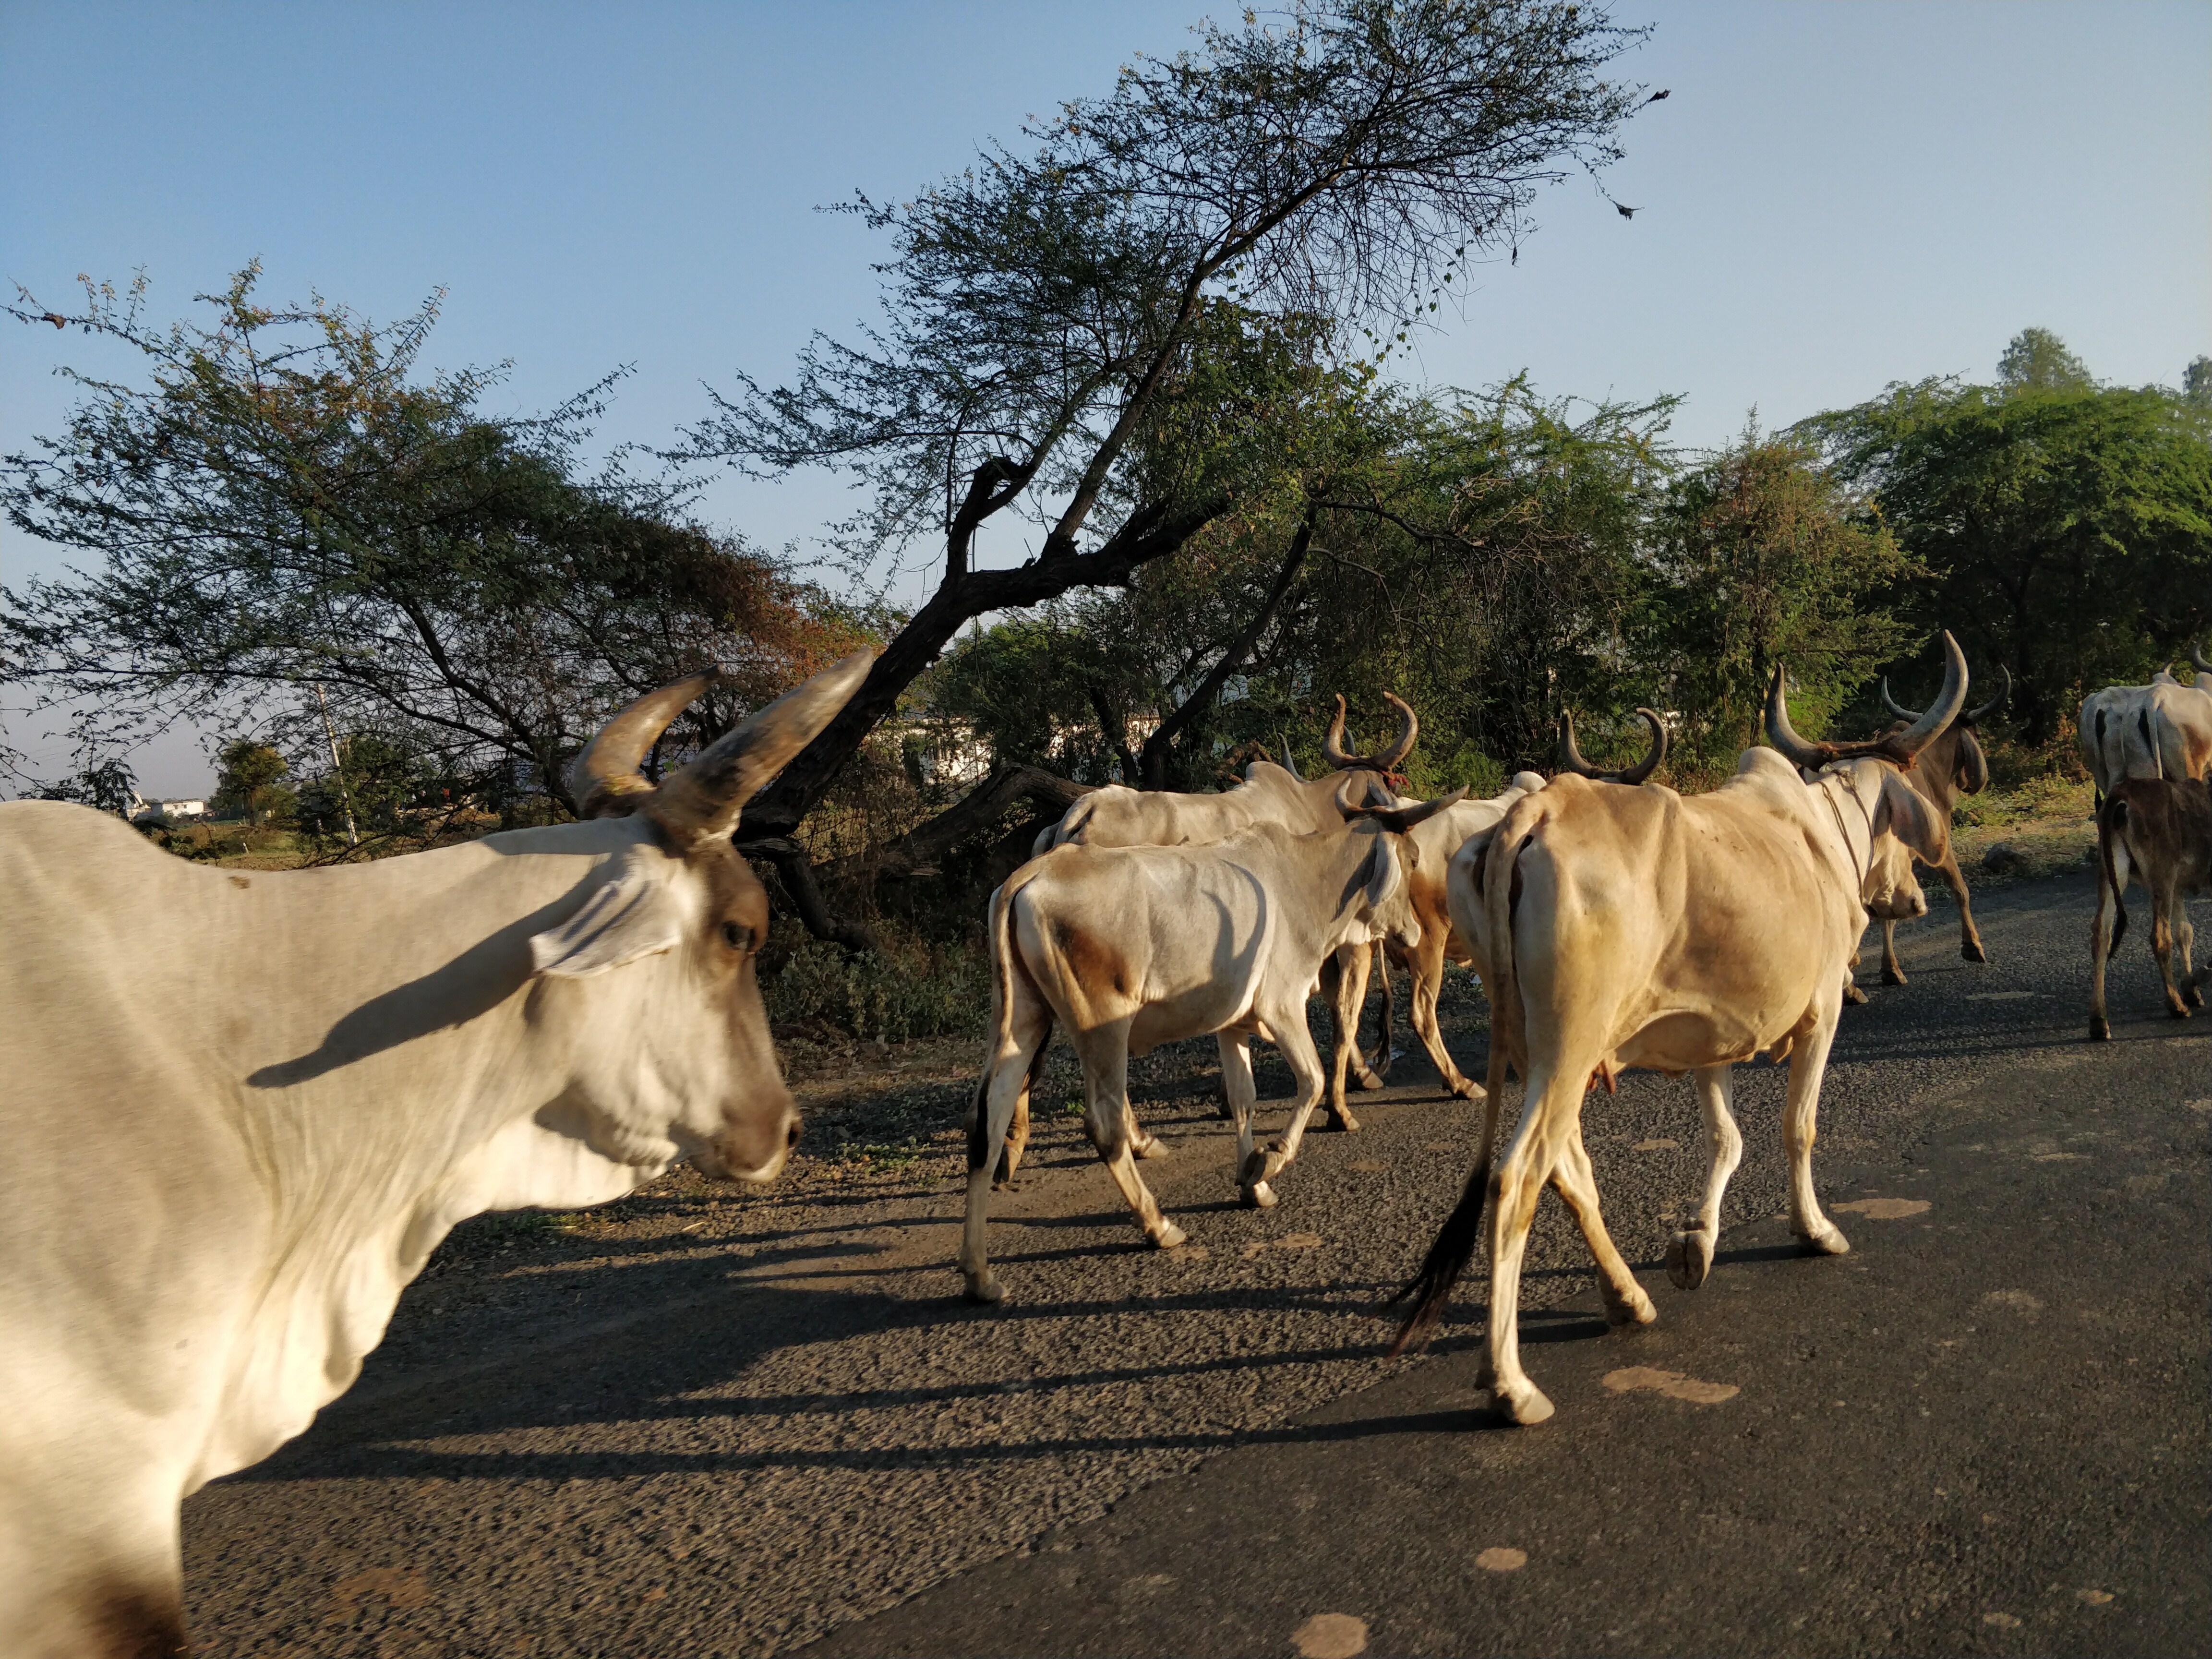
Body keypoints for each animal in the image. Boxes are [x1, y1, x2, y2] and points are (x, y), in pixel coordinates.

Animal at [958, 796, 1461, 1304]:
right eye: (1413, 858)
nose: (1414, 932)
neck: (1304, 879)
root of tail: (1027, 877)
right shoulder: (1282, 1006)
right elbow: (1313, 1081)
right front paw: (1269, 1159)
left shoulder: (1232, 1024)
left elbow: (1243, 1100)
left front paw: (1253, 1184)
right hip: (1102, 1027)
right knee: (1103, 1123)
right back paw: (1157, 1225)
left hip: (1022, 1020)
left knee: (987, 1122)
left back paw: (979, 1273)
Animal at [1386, 635, 1969, 1426]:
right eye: (1898, 828)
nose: (1911, 899)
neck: (1822, 836)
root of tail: (1528, 815)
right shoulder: (1821, 1014)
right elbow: (1799, 1129)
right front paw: (1814, 1229)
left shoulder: (1712, 1036)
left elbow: (1727, 1138)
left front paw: (1695, 1243)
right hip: (1569, 1048)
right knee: (1518, 1180)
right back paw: (1511, 1383)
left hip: (1543, 1054)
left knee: (1570, 1172)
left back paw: (1628, 1299)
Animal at [2088, 775, 2212, 1039]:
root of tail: (2122, 793)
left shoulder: (2178, 888)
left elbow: (2185, 932)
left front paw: (2192, 987)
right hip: (2161, 871)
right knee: (2159, 937)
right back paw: (2176, 1005)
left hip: (2111, 869)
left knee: (2101, 935)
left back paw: (2099, 1021)